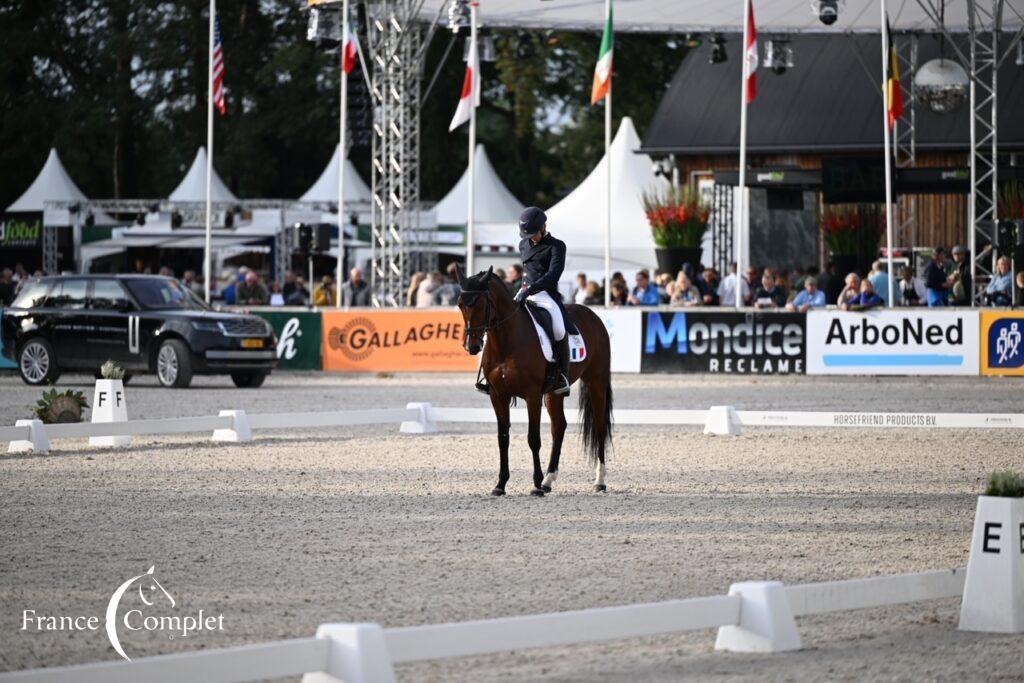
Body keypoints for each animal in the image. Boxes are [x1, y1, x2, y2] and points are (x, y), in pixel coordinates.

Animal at [458, 266, 614, 497]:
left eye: (480, 303)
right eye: (460, 304)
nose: (472, 346)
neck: (506, 341)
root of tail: (593, 315)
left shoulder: (531, 395)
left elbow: (533, 438)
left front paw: (536, 484)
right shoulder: (498, 395)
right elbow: (503, 438)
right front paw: (500, 484)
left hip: (596, 381)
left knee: (599, 426)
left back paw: (599, 481)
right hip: (553, 392)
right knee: (559, 426)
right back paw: (549, 480)